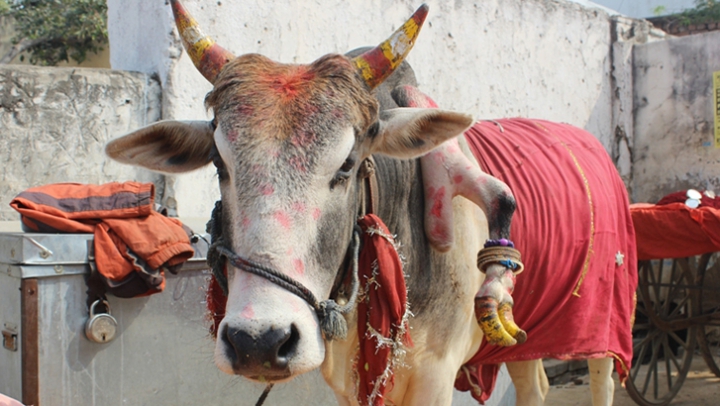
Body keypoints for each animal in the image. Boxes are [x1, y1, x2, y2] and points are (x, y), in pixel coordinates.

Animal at [107, 1, 636, 404]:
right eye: (220, 163)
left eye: (347, 163)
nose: (258, 342)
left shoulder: (435, 377)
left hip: (603, 327)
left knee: (601, 380)